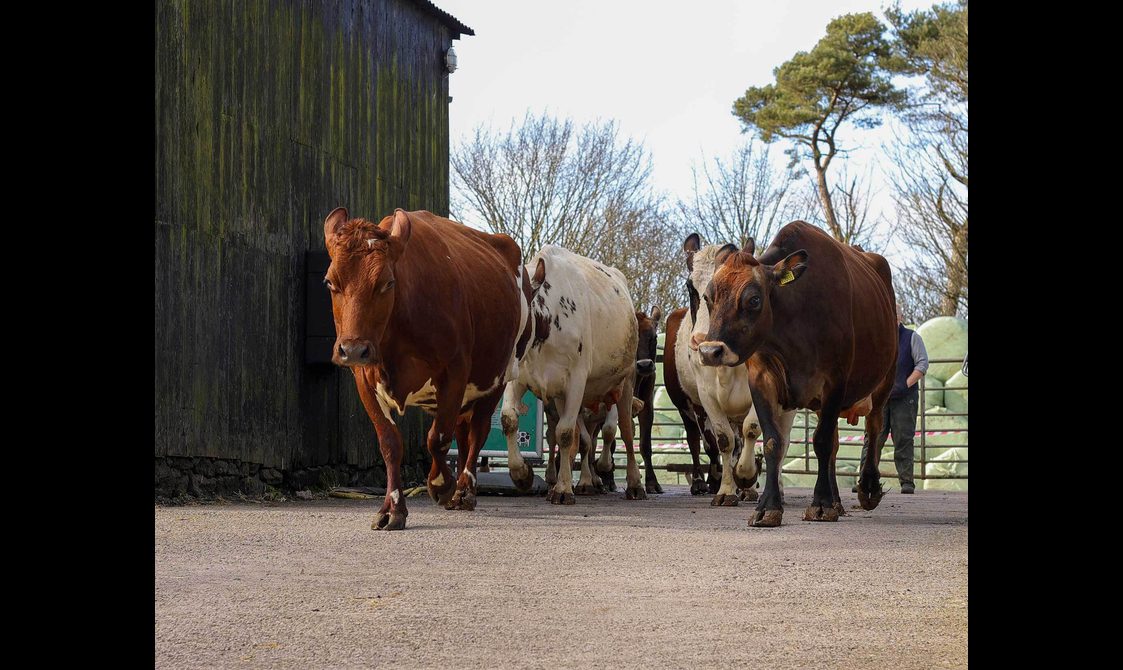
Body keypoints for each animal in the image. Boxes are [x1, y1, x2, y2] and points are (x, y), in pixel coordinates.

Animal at [323, 208, 527, 531]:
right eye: (331, 282)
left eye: (387, 282)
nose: (353, 349)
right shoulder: (364, 379)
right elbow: (390, 443)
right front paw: (392, 509)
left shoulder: (455, 371)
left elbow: (437, 438)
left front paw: (441, 485)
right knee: (462, 430)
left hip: (497, 376)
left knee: (477, 431)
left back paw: (464, 490)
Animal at [502, 245, 647, 503]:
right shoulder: (519, 378)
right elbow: (510, 419)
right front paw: (522, 474)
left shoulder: (577, 381)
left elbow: (567, 434)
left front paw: (563, 489)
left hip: (626, 380)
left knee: (627, 434)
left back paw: (634, 484)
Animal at [678, 234, 791, 507]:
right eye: (691, 287)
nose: (703, 344)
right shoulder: (706, 396)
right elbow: (724, 440)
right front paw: (727, 490)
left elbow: (753, 429)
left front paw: (746, 474)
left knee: (781, 440)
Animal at [696, 220, 898, 527]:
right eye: (708, 297)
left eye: (753, 299)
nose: (710, 351)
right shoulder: (762, 380)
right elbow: (773, 442)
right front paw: (769, 507)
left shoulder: (835, 381)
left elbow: (822, 441)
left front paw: (821, 505)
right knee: (836, 444)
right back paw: (837, 502)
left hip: (885, 378)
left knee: (874, 426)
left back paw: (867, 489)